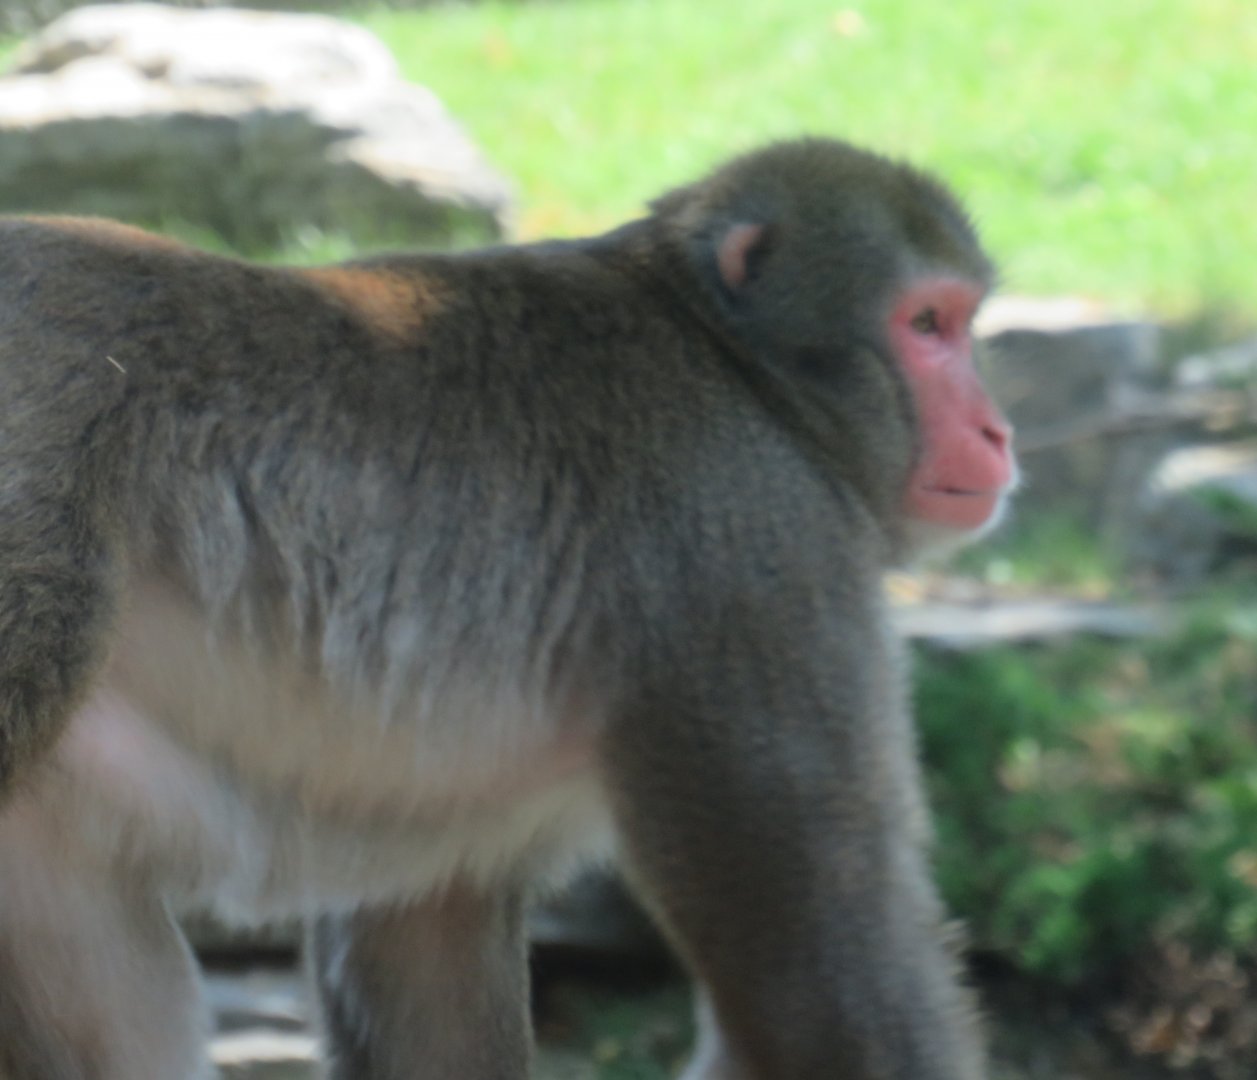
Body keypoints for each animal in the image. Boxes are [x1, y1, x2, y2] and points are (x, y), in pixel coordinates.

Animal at [0, 137, 1015, 1080]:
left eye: (963, 321)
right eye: (927, 324)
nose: (996, 430)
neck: (733, 364)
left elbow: (422, 941)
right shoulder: (756, 551)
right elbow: (822, 986)